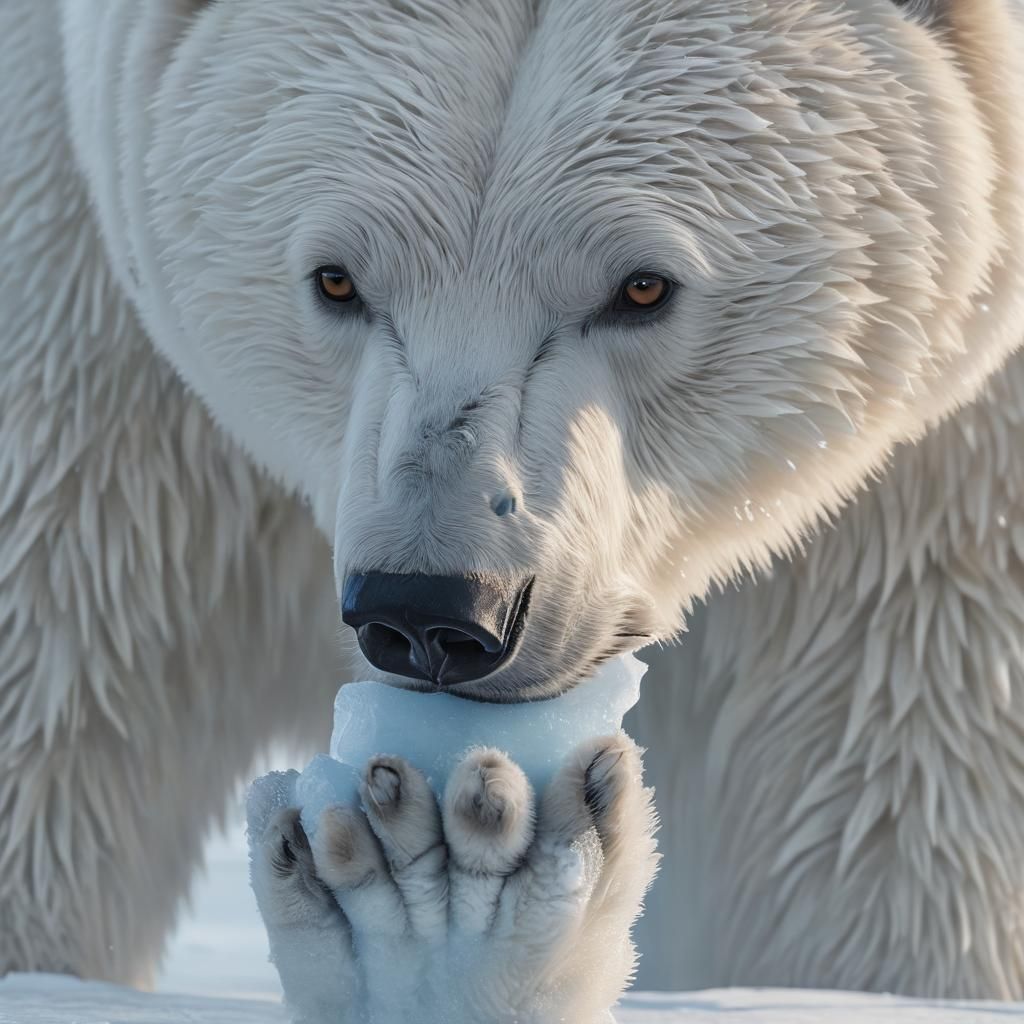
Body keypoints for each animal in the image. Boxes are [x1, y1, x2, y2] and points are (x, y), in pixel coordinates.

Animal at [1, 0, 1023, 1007]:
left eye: (643, 286)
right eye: (336, 278)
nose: (430, 613)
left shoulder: (928, 523)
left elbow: (875, 825)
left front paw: (467, 901)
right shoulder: (96, 361)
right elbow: (65, 682)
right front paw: (431, 907)